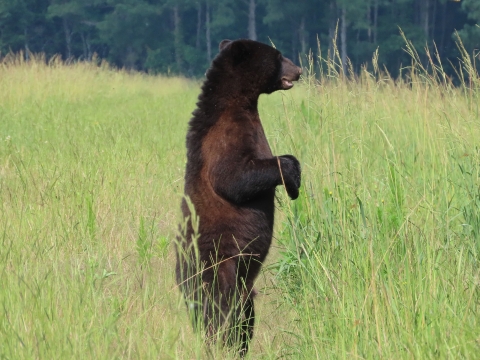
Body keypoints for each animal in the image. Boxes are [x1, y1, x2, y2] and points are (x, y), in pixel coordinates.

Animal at [176, 38, 302, 354]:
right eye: (278, 56)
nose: (299, 70)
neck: (240, 102)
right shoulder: (225, 136)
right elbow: (234, 177)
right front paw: (292, 178)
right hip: (218, 267)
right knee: (220, 313)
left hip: (243, 287)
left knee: (244, 317)